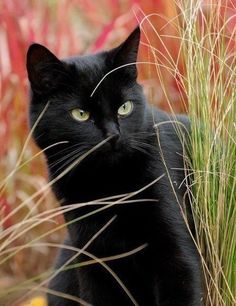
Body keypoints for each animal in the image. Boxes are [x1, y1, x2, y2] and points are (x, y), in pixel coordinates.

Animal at [26, 26, 203, 306]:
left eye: (124, 107)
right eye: (80, 114)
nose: (113, 135)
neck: (108, 187)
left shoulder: (175, 252)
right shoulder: (95, 261)